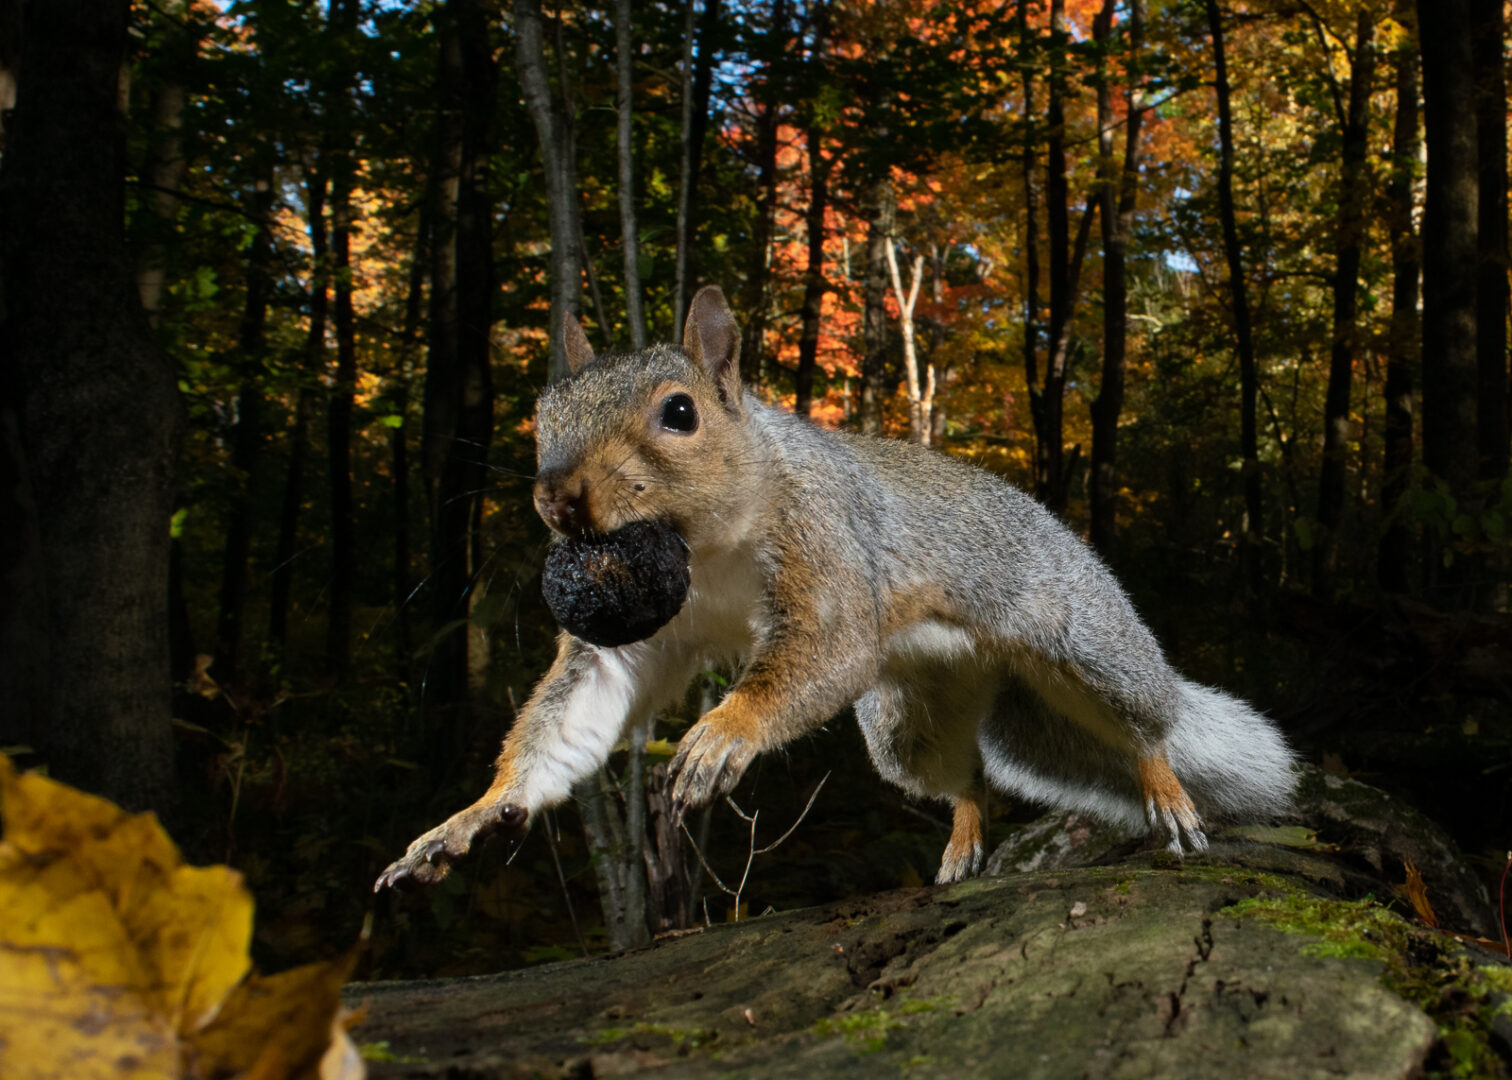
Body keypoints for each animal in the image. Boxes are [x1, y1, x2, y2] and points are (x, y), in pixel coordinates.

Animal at [375, 285, 1295, 892]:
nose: (557, 497)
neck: (708, 548)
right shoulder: (637, 637)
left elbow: (828, 648)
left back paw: (1166, 794)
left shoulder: (827, 540)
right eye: (543, 415)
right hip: (907, 723)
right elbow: (575, 717)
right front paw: (470, 818)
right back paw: (963, 843)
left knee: (1142, 733)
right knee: (967, 780)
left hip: (1089, 647)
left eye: (680, 413)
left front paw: (723, 734)